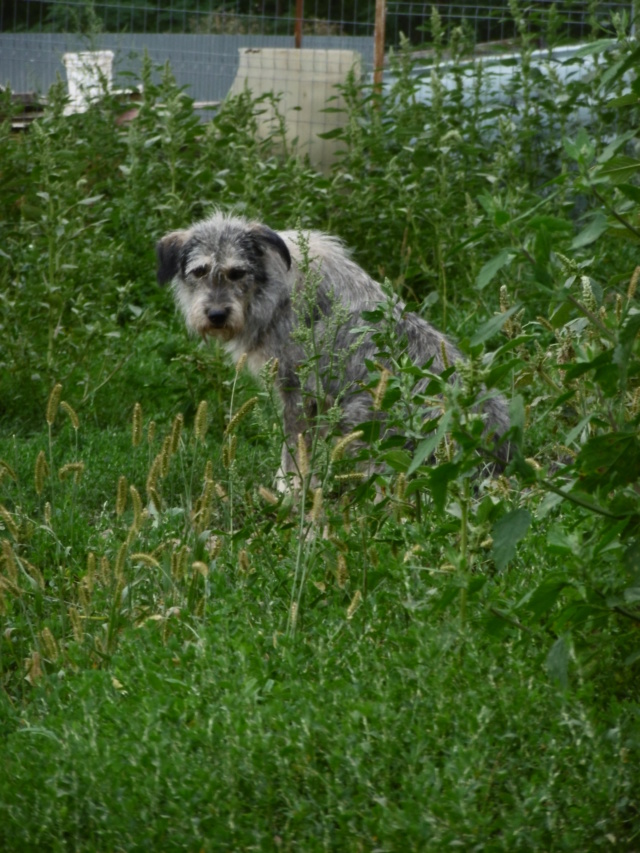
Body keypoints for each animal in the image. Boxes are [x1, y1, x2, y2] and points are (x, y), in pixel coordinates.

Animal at [156, 211, 510, 486]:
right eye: (200, 271)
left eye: (237, 272)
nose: (216, 315)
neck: (277, 293)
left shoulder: (298, 395)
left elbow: (292, 456)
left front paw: (288, 495)